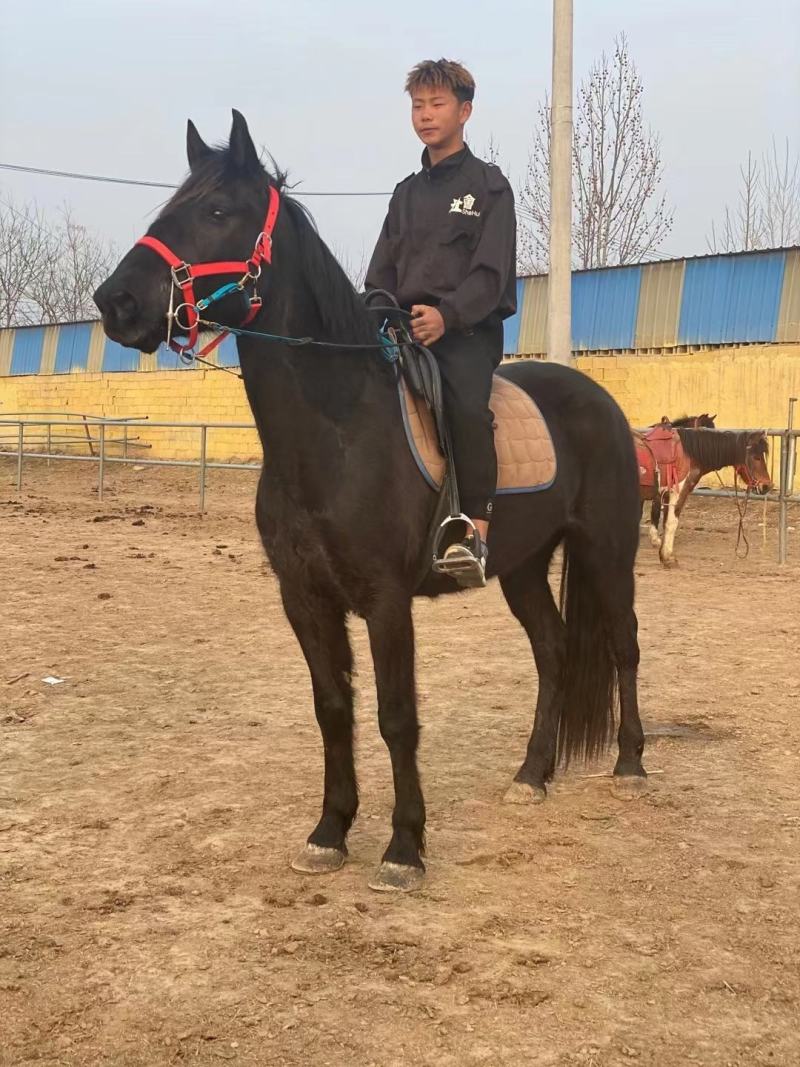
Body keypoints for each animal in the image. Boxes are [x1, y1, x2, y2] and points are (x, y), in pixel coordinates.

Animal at [94, 111, 647, 893]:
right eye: (168, 206)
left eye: (218, 211)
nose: (115, 303)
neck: (337, 429)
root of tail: (600, 400)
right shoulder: (305, 597)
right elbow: (333, 709)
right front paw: (330, 831)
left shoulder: (386, 601)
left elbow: (395, 716)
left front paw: (404, 846)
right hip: (523, 565)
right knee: (554, 648)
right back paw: (533, 774)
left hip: (607, 549)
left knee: (624, 643)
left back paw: (630, 764)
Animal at [637, 426, 772, 566]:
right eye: (756, 457)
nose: (767, 486)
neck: (689, 455)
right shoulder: (678, 493)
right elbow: (671, 523)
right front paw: (668, 557)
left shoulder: (665, 496)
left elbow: (664, 521)